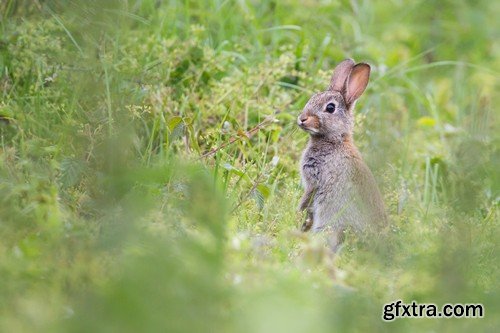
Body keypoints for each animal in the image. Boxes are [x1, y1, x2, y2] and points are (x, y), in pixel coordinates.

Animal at [296, 58, 386, 249]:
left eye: (330, 108)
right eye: (312, 98)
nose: (302, 119)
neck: (335, 140)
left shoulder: (314, 180)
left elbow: (306, 198)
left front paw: (297, 214)